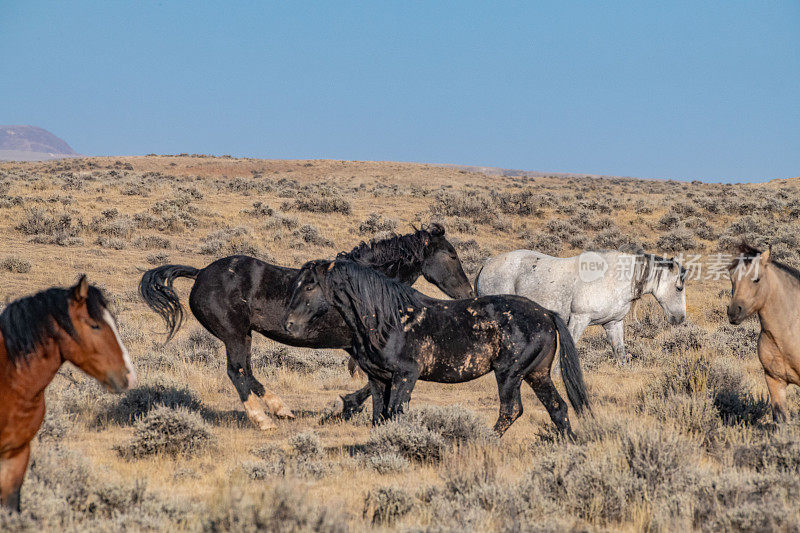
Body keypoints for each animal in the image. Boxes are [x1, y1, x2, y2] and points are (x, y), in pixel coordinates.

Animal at [139, 222, 476, 430]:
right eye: (451, 254)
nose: (468, 293)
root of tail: (199, 274)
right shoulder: (360, 348)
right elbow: (372, 383)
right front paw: (344, 408)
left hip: (243, 335)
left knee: (247, 372)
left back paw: (280, 410)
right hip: (234, 334)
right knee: (237, 372)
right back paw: (264, 420)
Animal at [284, 258, 592, 436]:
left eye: (310, 285)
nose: (289, 324)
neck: (388, 319)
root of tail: (546, 313)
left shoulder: (405, 375)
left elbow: (396, 413)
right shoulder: (377, 379)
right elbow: (378, 417)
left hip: (510, 374)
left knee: (511, 410)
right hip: (537, 374)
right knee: (558, 408)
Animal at [476, 250, 688, 362]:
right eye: (679, 288)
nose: (680, 318)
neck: (615, 279)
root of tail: (487, 263)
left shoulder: (613, 324)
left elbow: (620, 353)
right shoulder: (579, 320)